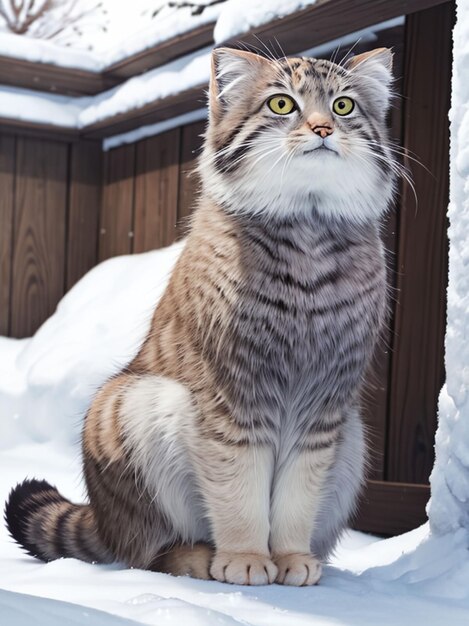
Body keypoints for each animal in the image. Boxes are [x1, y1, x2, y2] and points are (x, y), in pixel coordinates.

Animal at [6, 45, 394, 584]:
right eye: (281, 104)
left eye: (342, 106)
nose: (322, 128)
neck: (307, 233)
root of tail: (101, 520)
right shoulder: (230, 397)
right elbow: (238, 490)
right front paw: (247, 558)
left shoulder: (325, 406)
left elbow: (298, 496)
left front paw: (291, 558)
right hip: (129, 401)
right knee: (145, 551)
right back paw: (197, 558)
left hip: (353, 438)